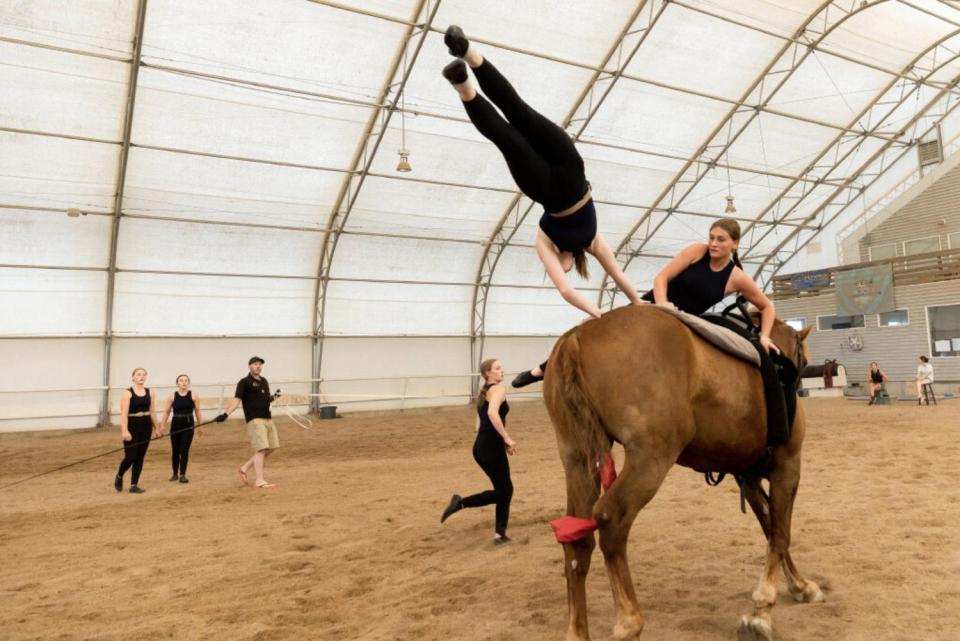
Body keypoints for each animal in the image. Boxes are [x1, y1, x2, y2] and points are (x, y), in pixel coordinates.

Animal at [544, 304, 820, 640]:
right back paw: (629, 622)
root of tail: (577, 336)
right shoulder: (788, 467)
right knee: (610, 517)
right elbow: (780, 534)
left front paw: (798, 585)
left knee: (577, 537)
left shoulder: (749, 476)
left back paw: (578, 631)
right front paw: (762, 611)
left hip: (577, 459)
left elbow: (771, 528)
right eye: (804, 361)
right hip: (650, 458)